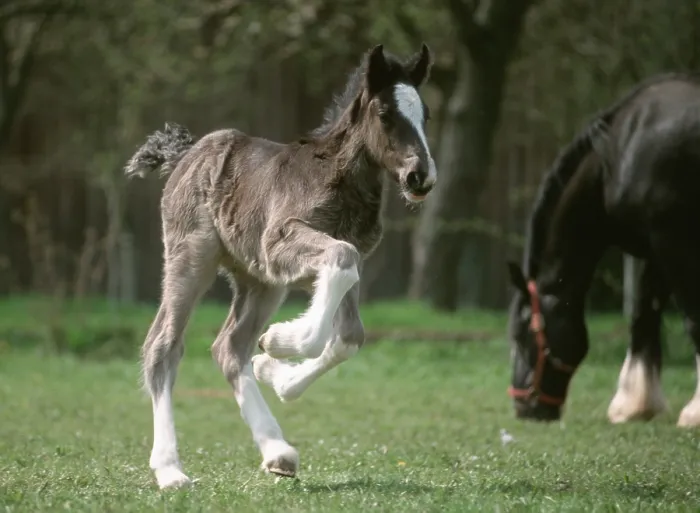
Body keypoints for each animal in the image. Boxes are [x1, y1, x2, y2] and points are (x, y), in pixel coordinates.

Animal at [123, 43, 436, 489]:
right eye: (384, 113)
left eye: (425, 114)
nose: (420, 177)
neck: (336, 180)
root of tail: (186, 153)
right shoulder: (282, 243)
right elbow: (340, 263)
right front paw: (278, 342)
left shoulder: (338, 263)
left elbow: (349, 335)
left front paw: (277, 370)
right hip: (192, 257)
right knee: (163, 345)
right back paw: (170, 469)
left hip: (260, 281)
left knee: (229, 347)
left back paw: (277, 451)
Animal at [505, 73, 700, 427]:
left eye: (521, 334)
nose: (523, 406)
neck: (622, 152)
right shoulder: (655, 248)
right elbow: (644, 314)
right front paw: (634, 404)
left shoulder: (673, 240)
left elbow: (692, 318)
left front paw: (693, 413)